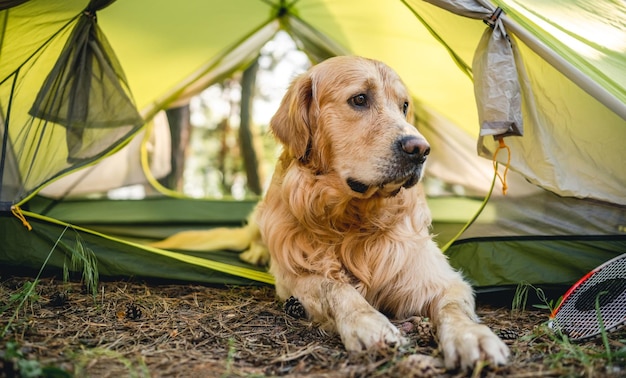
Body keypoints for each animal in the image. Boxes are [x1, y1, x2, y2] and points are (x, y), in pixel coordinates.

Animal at [151, 56, 508, 370]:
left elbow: (454, 307)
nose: (420, 149)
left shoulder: (435, 278)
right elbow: (335, 288)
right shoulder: (297, 274)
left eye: (404, 106)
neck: (353, 220)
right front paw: (369, 323)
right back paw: (256, 253)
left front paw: (473, 337)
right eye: (360, 99)